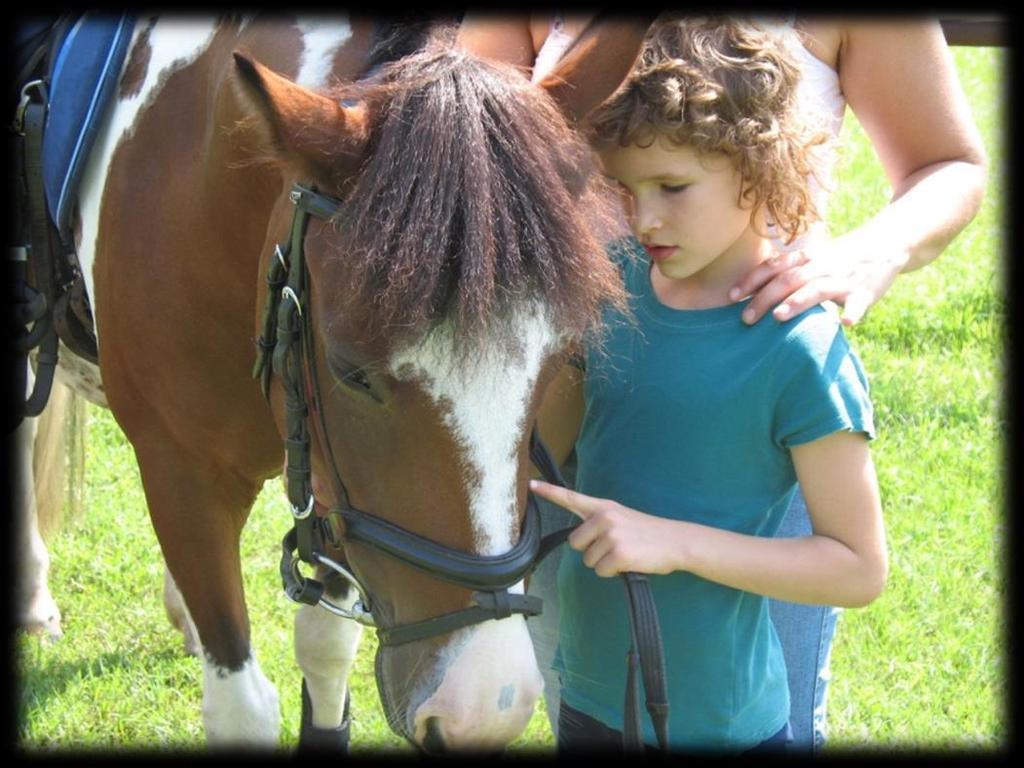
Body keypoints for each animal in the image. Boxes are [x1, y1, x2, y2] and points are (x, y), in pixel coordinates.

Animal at [29, 15, 647, 753]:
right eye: (352, 371)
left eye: (565, 360)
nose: (481, 713)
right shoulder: (181, 475)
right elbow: (241, 709)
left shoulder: (335, 492)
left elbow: (324, 646)